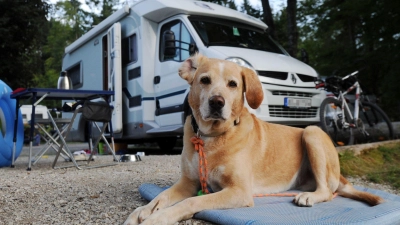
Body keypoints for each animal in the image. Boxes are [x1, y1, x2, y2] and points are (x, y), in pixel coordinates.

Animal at [123, 53, 382, 224]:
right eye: (204, 80)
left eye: (233, 84)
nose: (217, 102)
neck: (211, 136)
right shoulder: (189, 182)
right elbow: (161, 196)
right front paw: (142, 211)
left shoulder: (238, 191)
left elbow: (190, 202)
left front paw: (158, 218)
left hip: (312, 132)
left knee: (327, 192)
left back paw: (309, 196)